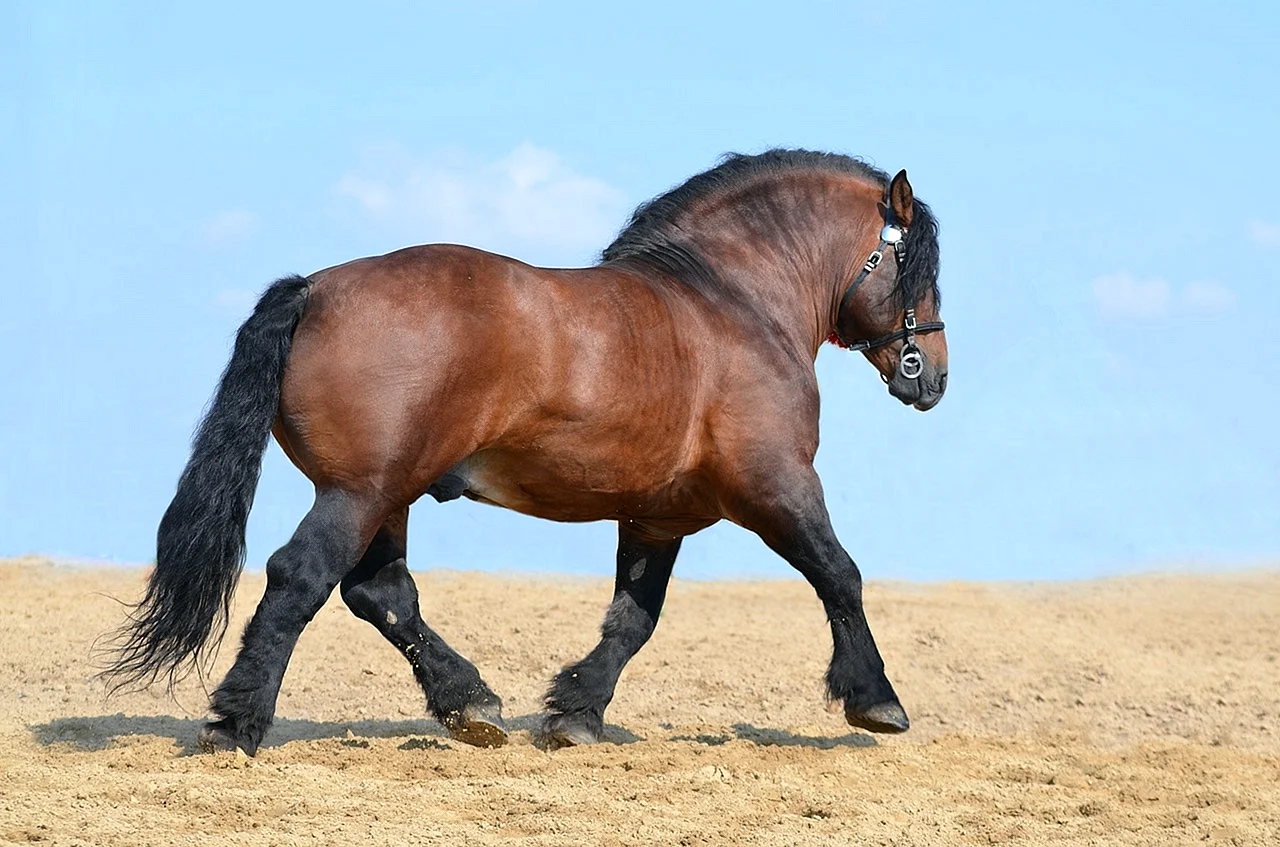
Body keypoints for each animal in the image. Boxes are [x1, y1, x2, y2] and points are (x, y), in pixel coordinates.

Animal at [105, 148, 948, 754]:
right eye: (920, 266)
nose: (931, 377)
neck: (728, 302)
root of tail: (313, 290)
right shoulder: (774, 483)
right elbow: (839, 574)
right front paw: (877, 699)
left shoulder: (657, 516)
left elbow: (632, 619)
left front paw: (576, 712)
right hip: (359, 490)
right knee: (300, 578)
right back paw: (235, 722)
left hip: (386, 495)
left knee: (381, 593)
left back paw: (471, 704)